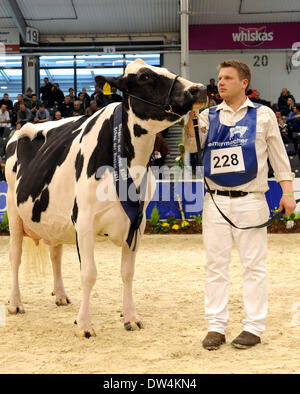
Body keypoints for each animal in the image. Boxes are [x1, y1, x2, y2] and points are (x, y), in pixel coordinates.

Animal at [4, 59, 207, 338]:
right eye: (144, 76)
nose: (200, 89)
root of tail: (20, 129)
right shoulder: (85, 221)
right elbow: (89, 273)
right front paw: (84, 326)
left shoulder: (138, 223)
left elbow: (128, 273)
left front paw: (131, 317)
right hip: (13, 212)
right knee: (15, 256)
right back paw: (15, 303)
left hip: (53, 217)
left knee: (55, 253)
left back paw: (61, 295)